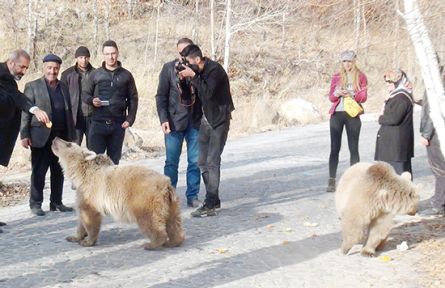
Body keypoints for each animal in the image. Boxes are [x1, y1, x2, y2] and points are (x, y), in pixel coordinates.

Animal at [50, 137, 184, 250]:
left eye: (68, 143)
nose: (56, 138)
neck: (80, 174)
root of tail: (166, 184)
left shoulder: (91, 191)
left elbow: (89, 214)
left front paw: (87, 241)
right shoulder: (81, 192)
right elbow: (81, 217)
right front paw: (73, 236)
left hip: (144, 199)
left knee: (150, 220)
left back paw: (152, 244)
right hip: (171, 204)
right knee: (173, 222)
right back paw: (174, 241)